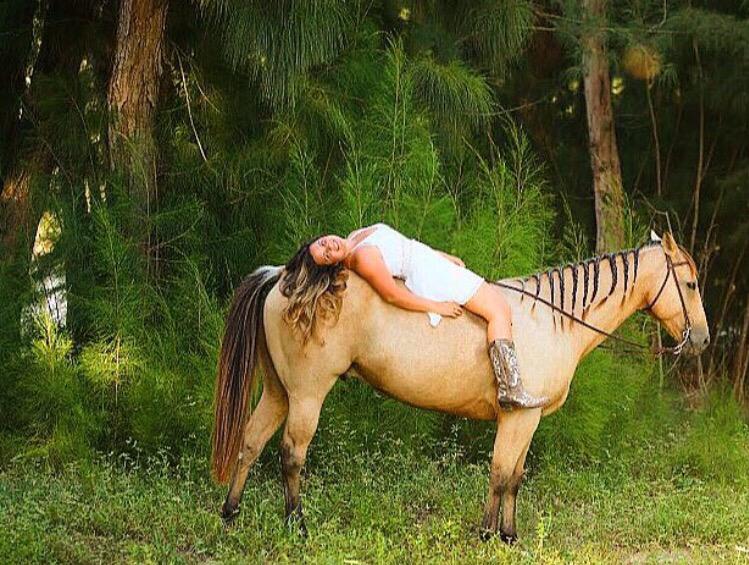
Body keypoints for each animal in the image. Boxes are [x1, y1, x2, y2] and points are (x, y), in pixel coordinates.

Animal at [211, 231, 709, 542]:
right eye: (689, 283)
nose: (702, 339)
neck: (552, 318)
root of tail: (283, 277)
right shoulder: (519, 416)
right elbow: (501, 473)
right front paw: (488, 534)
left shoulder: (527, 421)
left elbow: (515, 477)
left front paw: (508, 535)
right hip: (307, 395)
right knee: (291, 455)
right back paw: (297, 525)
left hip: (279, 392)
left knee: (250, 442)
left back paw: (230, 514)